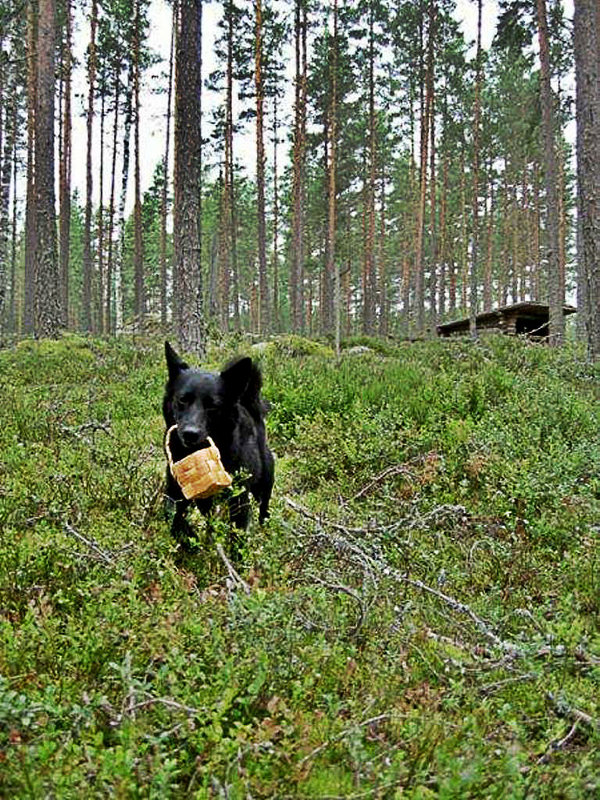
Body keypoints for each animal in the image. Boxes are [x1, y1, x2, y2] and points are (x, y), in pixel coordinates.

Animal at [162, 340, 274, 548]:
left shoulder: (239, 498)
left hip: (263, 488)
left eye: (212, 406)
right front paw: (188, 537)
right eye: (182, 400)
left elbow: (237, 532)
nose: (190, 434)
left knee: (264, 512)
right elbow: (172, 514)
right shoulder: (175, 490)